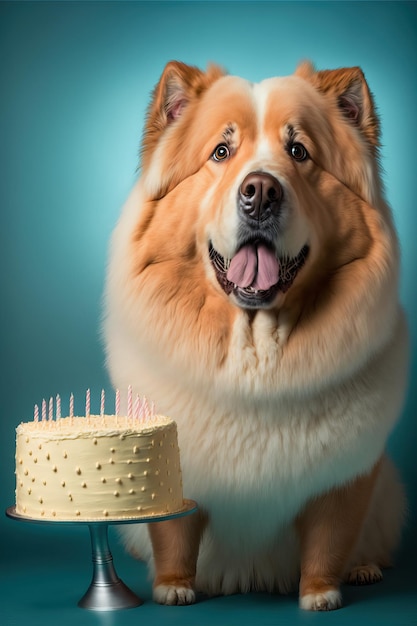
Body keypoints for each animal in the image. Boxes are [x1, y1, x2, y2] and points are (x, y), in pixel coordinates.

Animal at [104, 61, 406, 608]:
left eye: (299, 151)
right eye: (221, 152)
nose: (261, 192)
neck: (256, 354)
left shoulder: (345, 477)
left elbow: (329, 538)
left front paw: (320, 596)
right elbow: (174, 534)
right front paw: (174, 588)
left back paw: (364, 568)